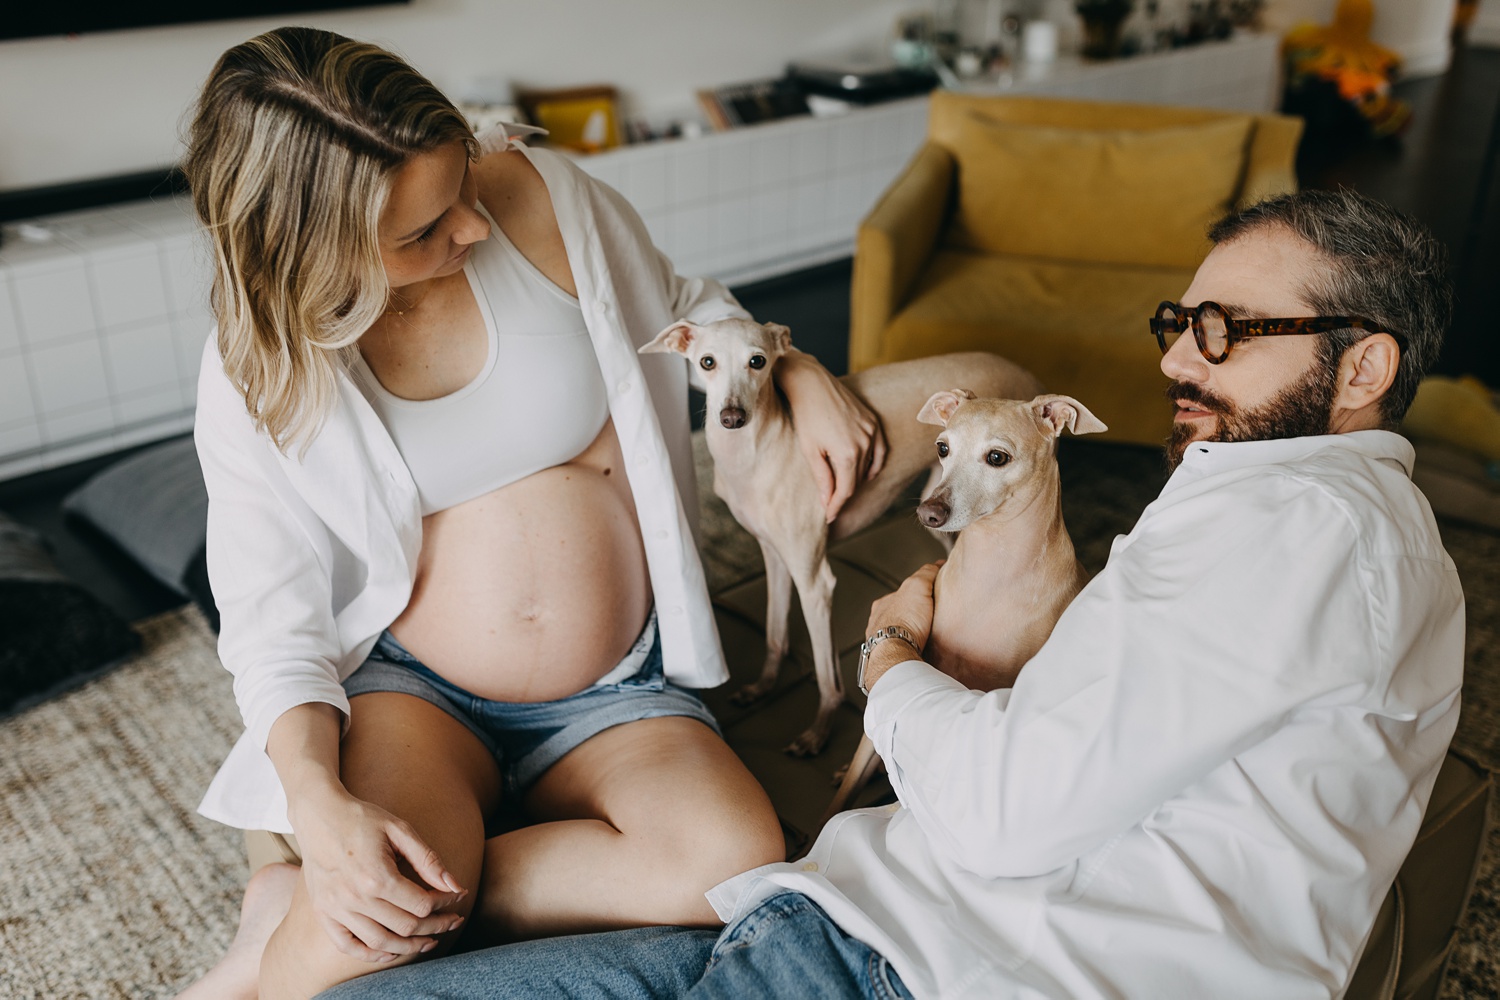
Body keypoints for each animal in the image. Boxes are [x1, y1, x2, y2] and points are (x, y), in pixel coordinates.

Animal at [636, 325, 1044, 755]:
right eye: (707, 361)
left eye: (758, 361)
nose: (732, 417)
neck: (762, 449)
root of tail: (1025, 373)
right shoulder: (775, 558)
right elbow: (775, 632)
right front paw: (762, 687)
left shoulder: (815, 582)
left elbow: (825, 671)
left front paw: (817, 733)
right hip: (941, 516)